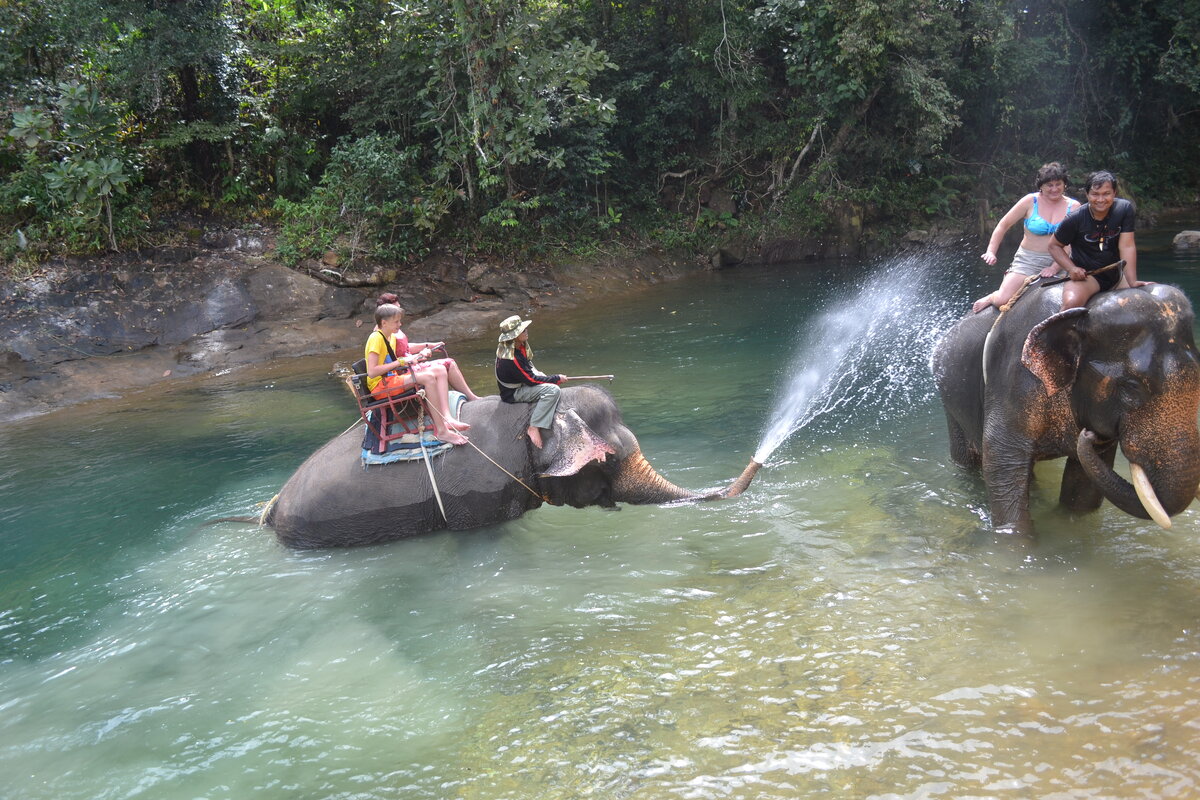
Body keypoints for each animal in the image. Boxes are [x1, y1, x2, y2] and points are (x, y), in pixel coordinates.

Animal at [931, 284, 1195, 534]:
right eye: (1131, 386)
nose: (1089, 434)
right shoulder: (1014, 376)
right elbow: (1003, 462)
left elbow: (1084, 481)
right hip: (951, 401)